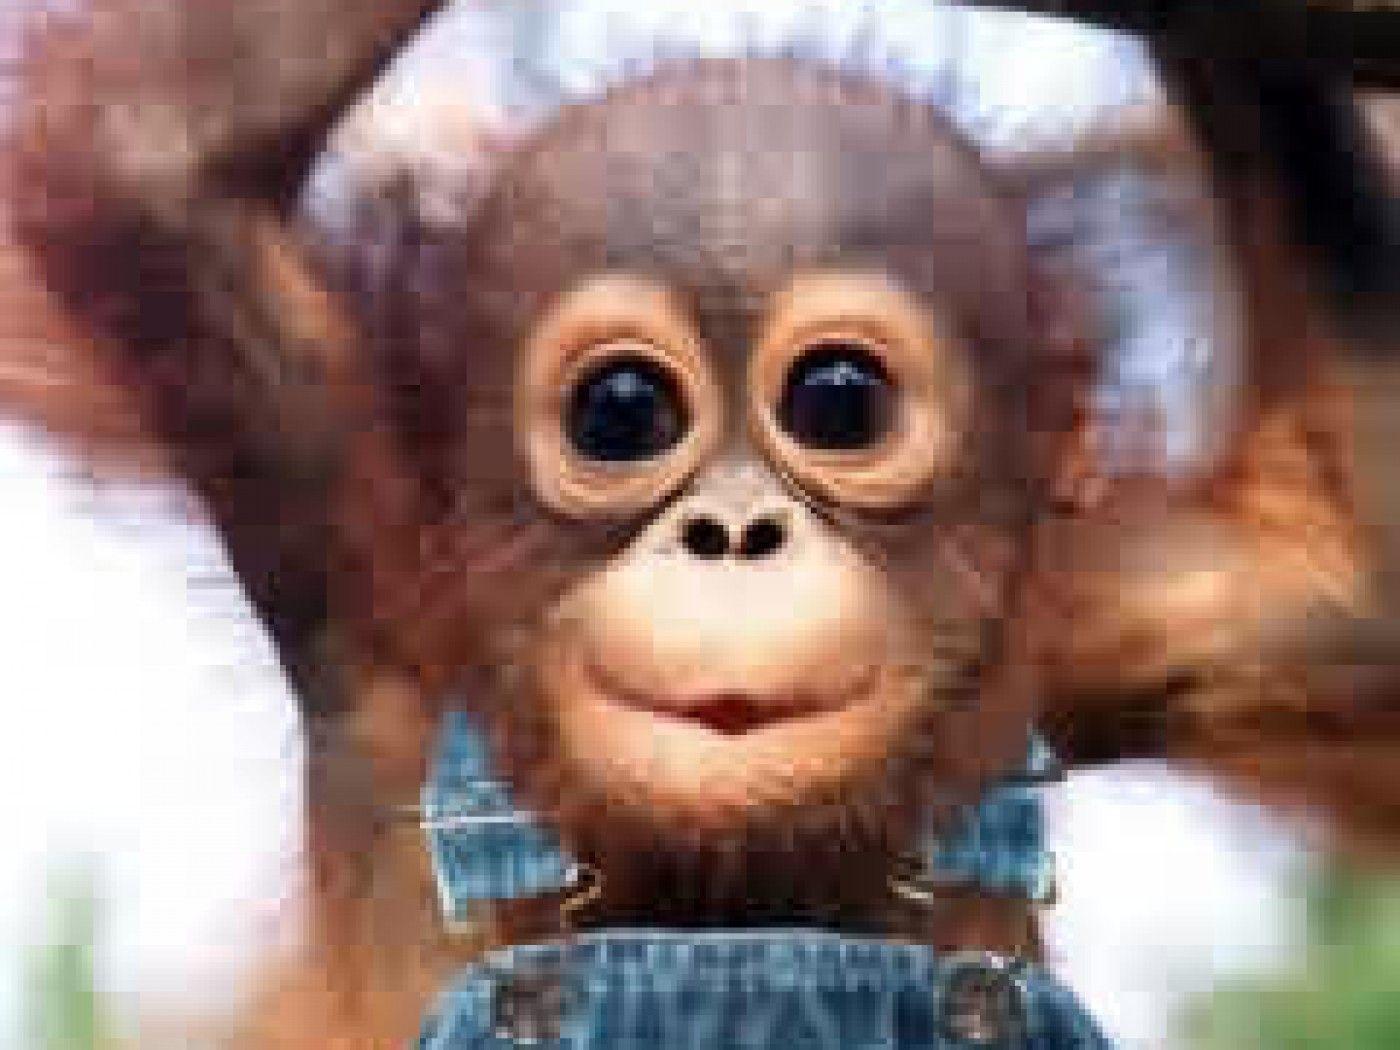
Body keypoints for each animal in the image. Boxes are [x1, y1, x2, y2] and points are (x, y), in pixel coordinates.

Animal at [4, 1, 1392, 1044]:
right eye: (621, 413)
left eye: (838, 403)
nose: (731, 534)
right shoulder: (348, 507)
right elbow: (150, 153)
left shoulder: (1109, 617)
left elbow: (1346, 592)